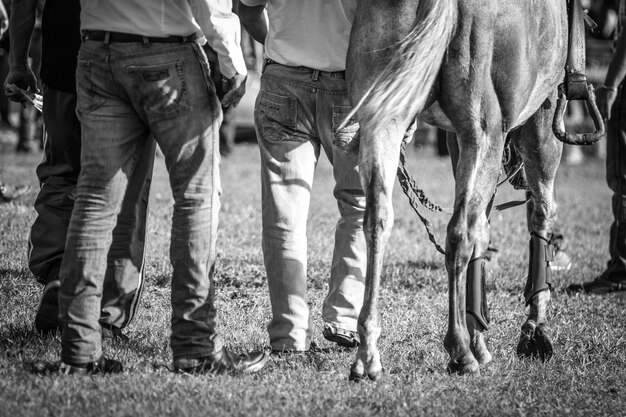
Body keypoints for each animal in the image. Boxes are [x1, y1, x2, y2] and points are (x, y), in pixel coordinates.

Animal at [346, 0, 596, 376]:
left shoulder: (453, 139)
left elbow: (484, 229)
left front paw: (480, 334)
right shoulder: (542, 120)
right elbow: (541, 216)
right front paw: (535, 330)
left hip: (383, 123)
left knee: (377, 220)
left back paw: (368, 352)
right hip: (484, 135)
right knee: (460, 232)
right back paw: (460, 349)